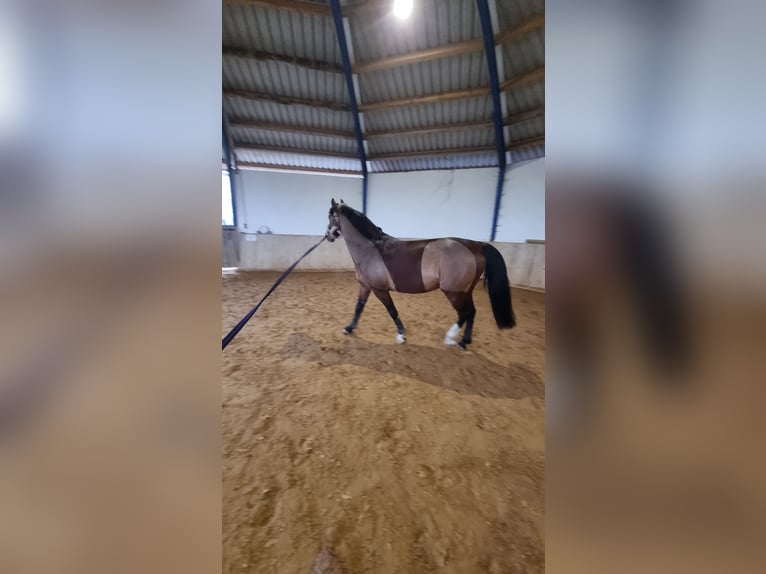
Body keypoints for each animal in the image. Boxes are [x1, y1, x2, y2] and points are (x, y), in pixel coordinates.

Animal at [324, 198, 516, 348]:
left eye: (329, 216)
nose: (328, 236)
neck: (370, 249)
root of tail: (476, 245)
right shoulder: (365, 286)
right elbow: (359, 308)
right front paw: (349, 328)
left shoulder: (380, 290)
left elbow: (392, 311)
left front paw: (401, 335)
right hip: (465, 291)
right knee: (472, 312)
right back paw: (464, 342)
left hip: (453, 292)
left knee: (465, 313)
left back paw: (450, 338)